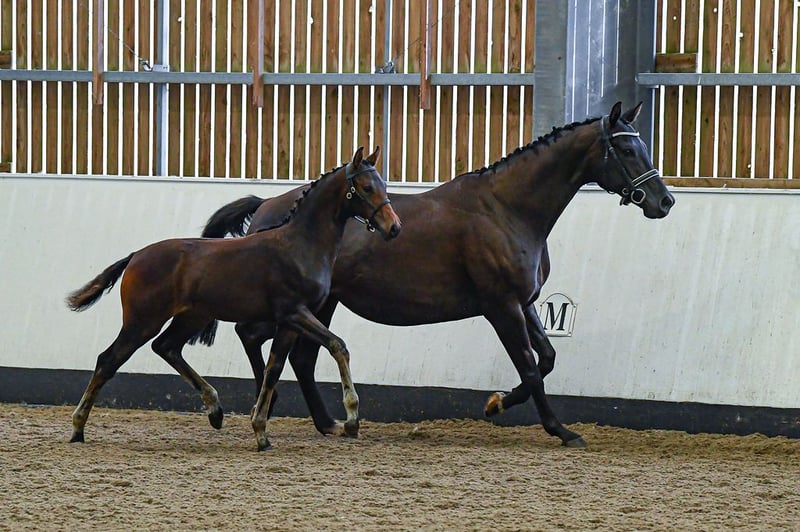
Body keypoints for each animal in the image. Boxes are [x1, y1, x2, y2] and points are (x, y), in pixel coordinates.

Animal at [65, 147, 401, 451]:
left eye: (384, 186)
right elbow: (337, 346)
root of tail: (135, 256)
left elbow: (273, 370)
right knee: (108, 361)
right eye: (367, 187)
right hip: (142, 321)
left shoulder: (288, 322)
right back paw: (78, 429)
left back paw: (215, 410)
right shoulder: (295, 312)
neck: (300, 245)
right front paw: (352, 419)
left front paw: (262, 433)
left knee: (166, 347)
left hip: (191, 317)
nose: (394, 227)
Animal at [202, 102, 675, 447]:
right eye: (627, 151)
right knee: (255, 336)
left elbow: (546, 359)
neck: (507, 210)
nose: (664, 201)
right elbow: (530, 367)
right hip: (298, 305)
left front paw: (496, 404)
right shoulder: (501, 307)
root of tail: (269, 207)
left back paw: (326, 422)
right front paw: (560, 430)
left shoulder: (524, 303)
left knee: (299, 356)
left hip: (321, 303)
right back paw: (266, 407)